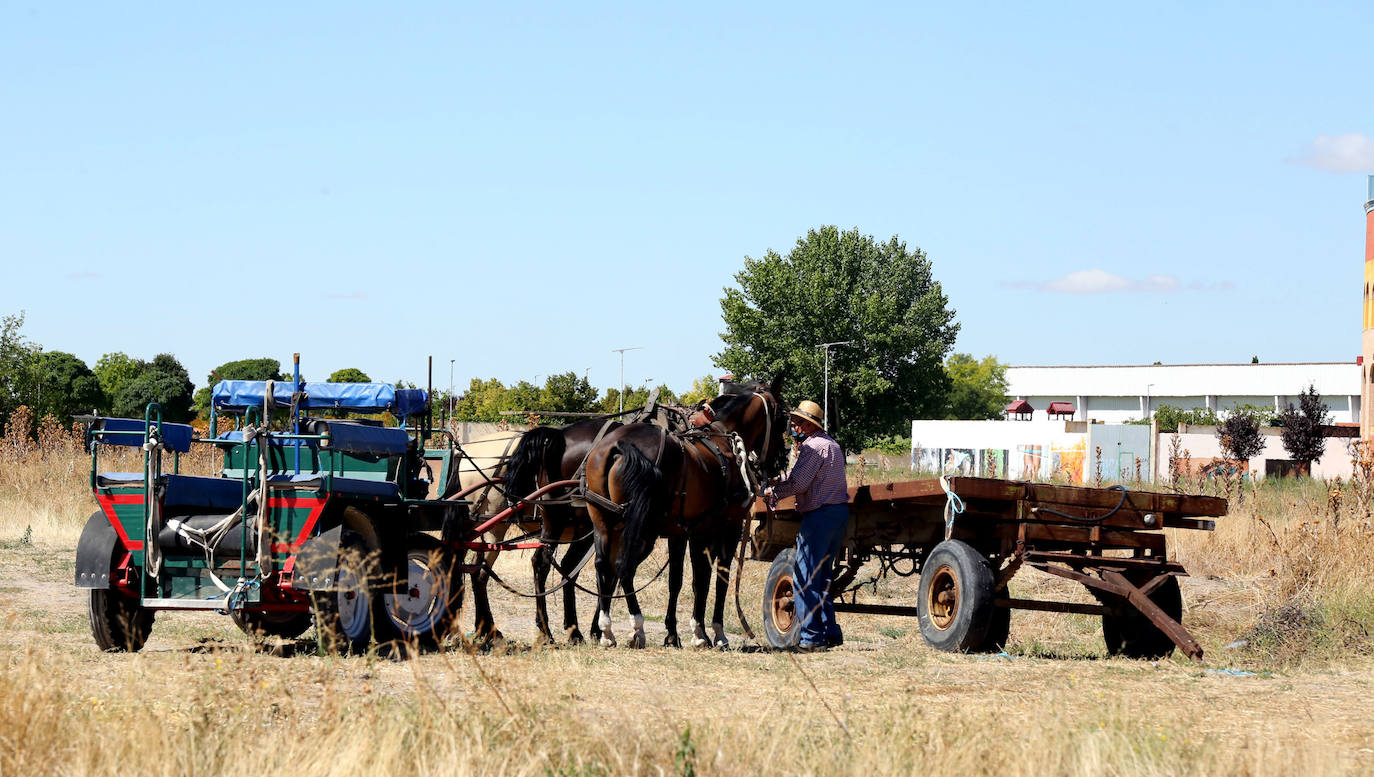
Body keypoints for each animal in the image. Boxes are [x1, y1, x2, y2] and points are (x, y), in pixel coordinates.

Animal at [579, 381, 791, 647]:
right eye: (782, 418)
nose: (781, 461)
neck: (723, 439)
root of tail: (619, 445)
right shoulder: (725, 528)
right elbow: (714, 578)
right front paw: (711, 632)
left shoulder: (684, 532)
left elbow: (681, 580)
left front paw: (678, 632)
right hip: (642, 530)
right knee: (623, 567)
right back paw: (637, 627)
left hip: (605, 523)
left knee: (604, 566)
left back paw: (606, 629)